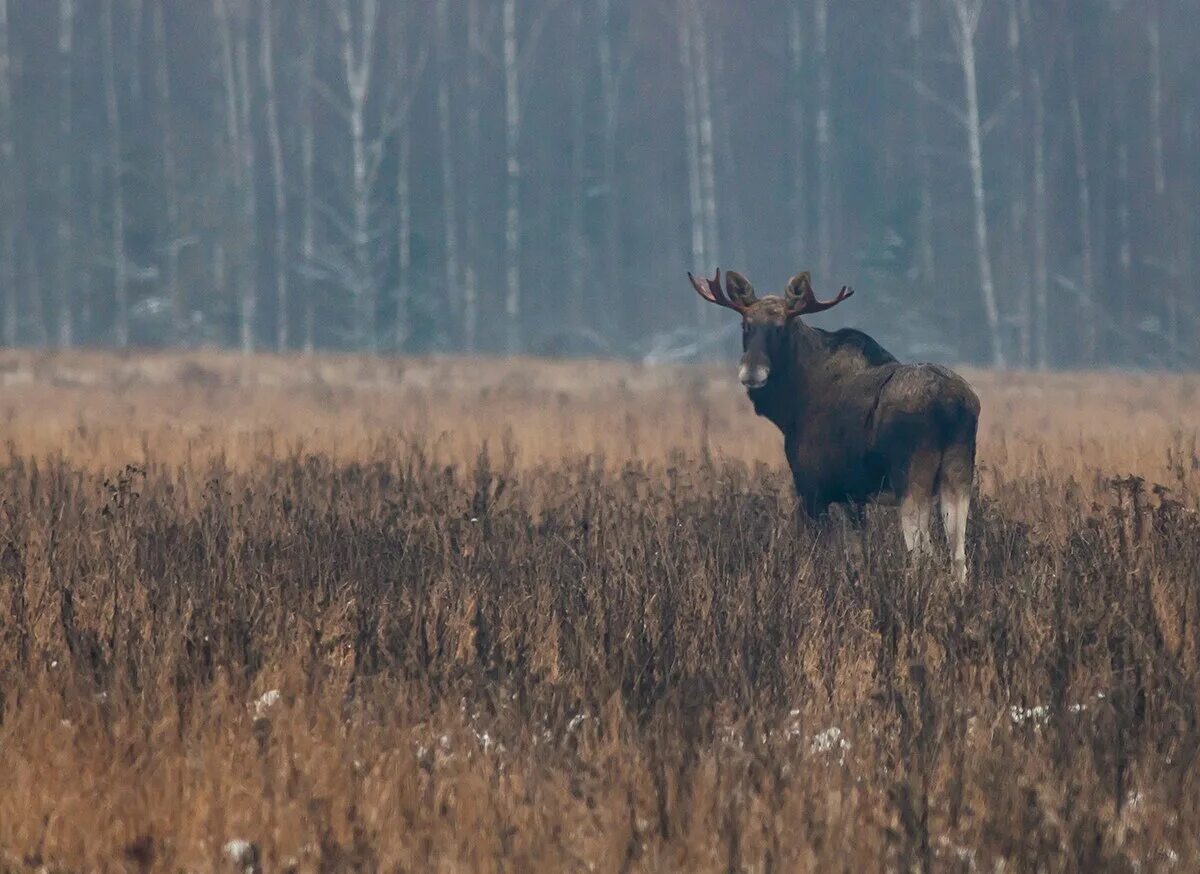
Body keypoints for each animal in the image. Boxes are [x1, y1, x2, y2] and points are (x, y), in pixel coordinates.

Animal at [691, 266, 979, 581]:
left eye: (781, 328)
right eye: (746, 325)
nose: (752, 371)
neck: (790, 408)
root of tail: (953, 404)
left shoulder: (812, 488)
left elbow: (819, 556)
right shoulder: (853, 497)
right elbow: (858, 557)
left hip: (912, 477)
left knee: (924, 553)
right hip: (958, 474)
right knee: (958, 556)